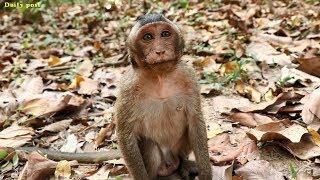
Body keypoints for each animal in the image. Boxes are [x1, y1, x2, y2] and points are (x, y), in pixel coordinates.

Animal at [115, 13, 212, 179]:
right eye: (148, 37)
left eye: (165, 34)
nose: (160, 51)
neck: (160, 76)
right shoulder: (127, 88)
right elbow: (125, 135)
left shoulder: (188, 76)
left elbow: (195, 121)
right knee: (151, 147)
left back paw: (183, 164)